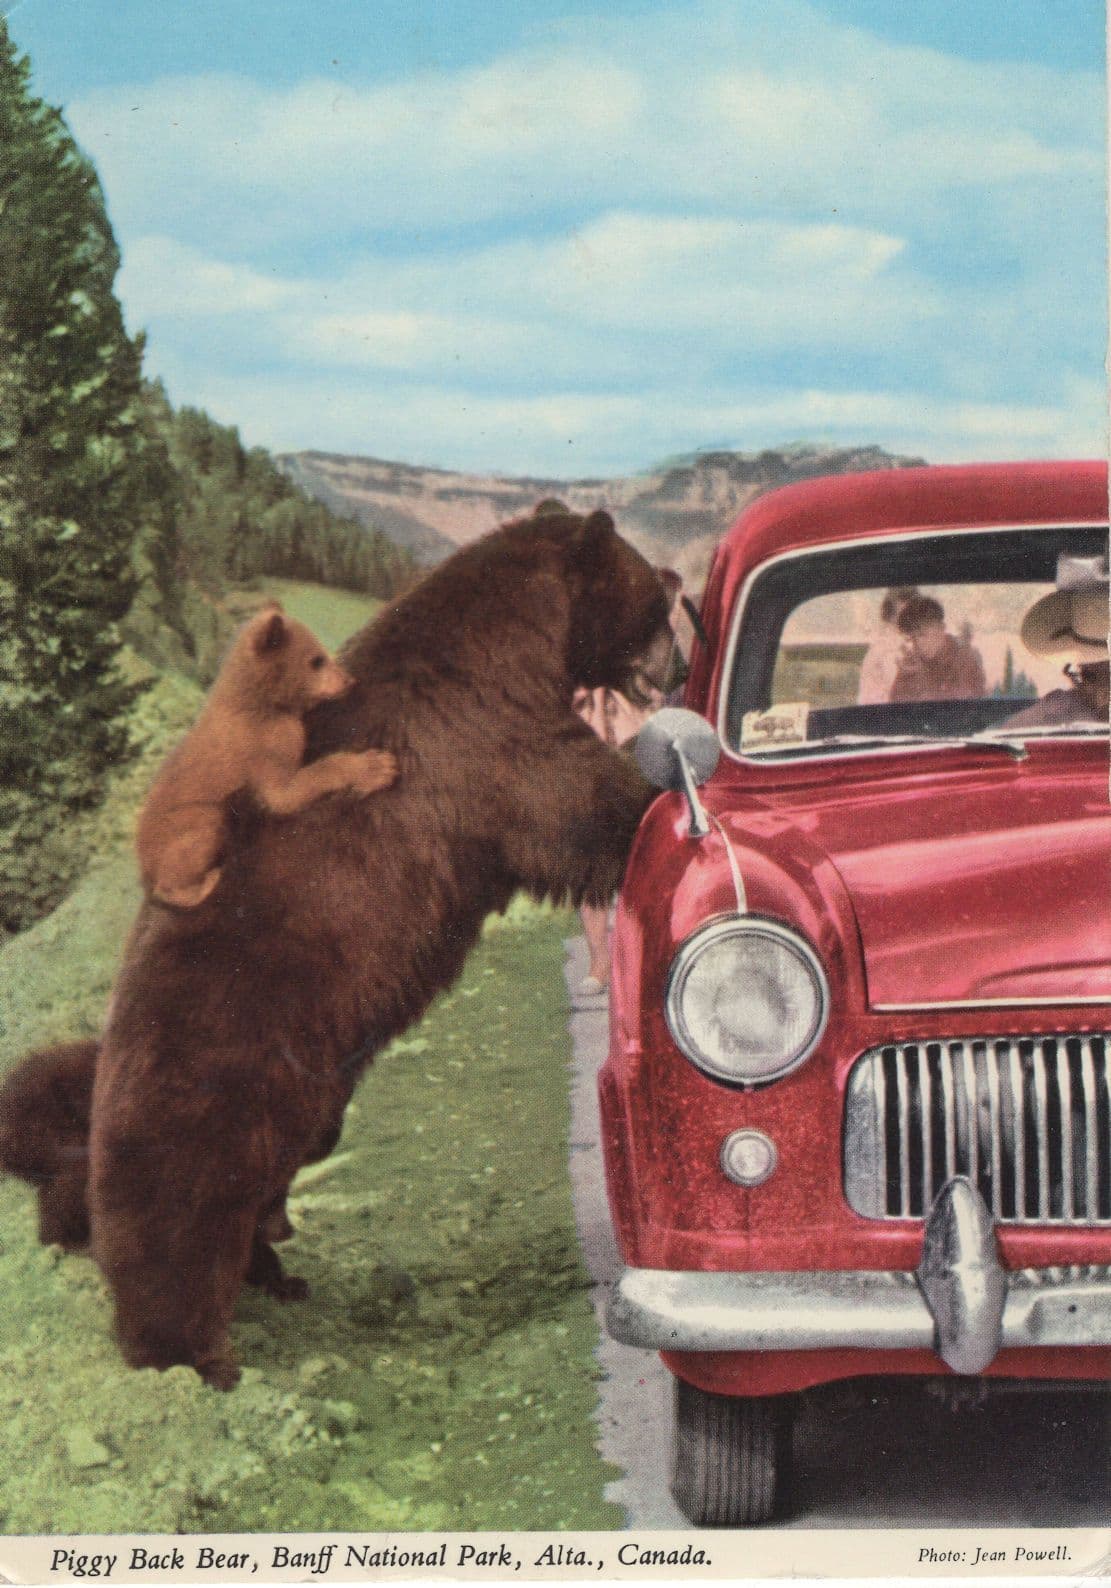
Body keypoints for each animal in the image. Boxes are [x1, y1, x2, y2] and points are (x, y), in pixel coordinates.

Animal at [137, 604, 397, 907]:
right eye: (316, 661)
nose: (350, 681)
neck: (259, 704)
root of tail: (144, 870)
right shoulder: (262, 749)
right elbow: (285, 794)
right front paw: (373, 768)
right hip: (195, 821)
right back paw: (202, 885)